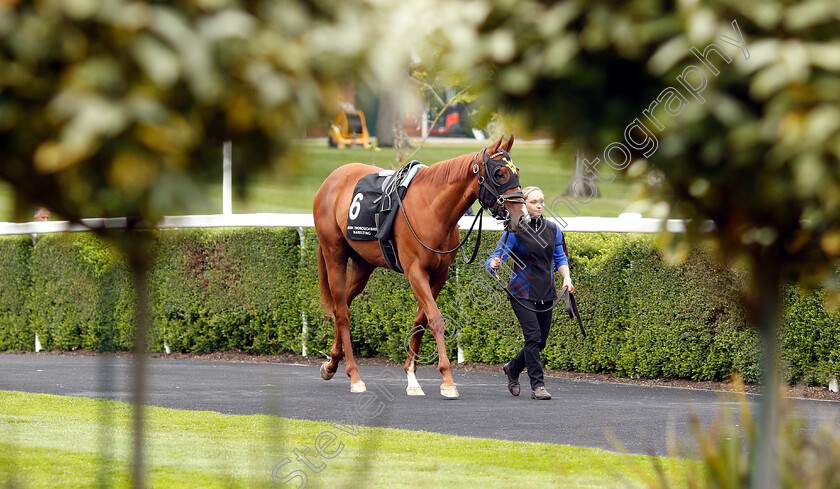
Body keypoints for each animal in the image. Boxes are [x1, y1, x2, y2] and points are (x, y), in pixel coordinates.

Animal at [312, 134, 528, 396]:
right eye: (499, 173)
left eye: (516, 171)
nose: (522, 218)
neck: (431, 208)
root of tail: (331, 179)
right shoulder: (415, 272)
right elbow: (435, 319)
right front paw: (447, 379)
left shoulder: (439, 274)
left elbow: (420, 321)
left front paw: (412, 377)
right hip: (334, 253)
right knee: (343, 313)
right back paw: (354, 376)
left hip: (363, 265)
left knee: (340, 306)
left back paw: (331, 364)